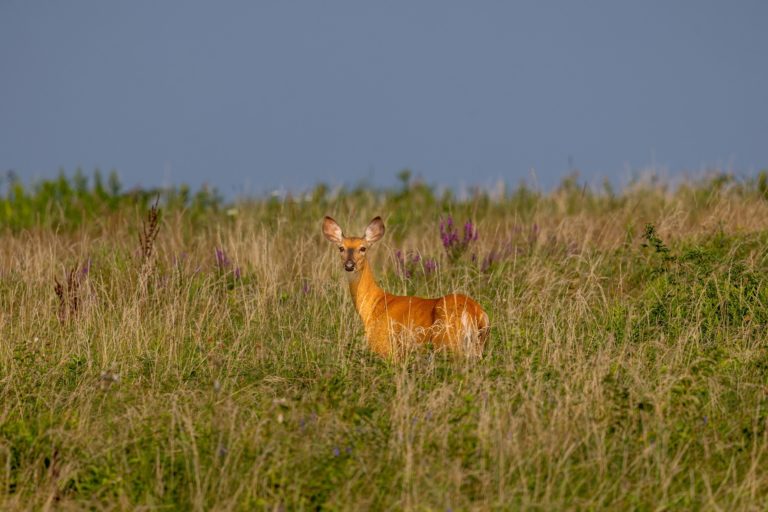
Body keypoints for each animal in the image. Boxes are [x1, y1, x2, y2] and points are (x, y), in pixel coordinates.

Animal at [320, 216, 488, 360]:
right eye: (341, 248)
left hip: (447, 342)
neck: (374, 306)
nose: (349, 265)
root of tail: (475, 312)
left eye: (363, 248)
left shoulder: (384, 346)